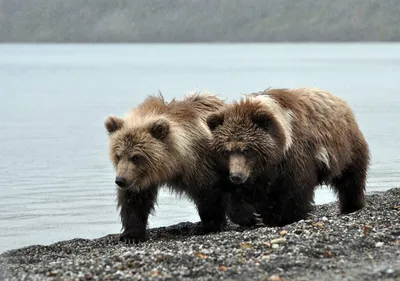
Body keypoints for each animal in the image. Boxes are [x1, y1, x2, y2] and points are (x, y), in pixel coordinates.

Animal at [103, 92, 236, 243]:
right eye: (118, 155)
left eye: (136, 157)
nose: (120, 180)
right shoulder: (139, 178)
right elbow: (135, 200)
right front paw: (131, 235)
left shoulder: (201, 162)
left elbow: (208, 191)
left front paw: (206, 226)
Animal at [206, 86, 372, 226]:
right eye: (226, 151)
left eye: (247, 150)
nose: (236, 176)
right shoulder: (251, 173)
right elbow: (234, 195)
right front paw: (253, 217)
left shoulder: (294, 158)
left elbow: (296, 189)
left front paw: (285, 218)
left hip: (347, 148)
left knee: (351, 179)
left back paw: (351, 205)